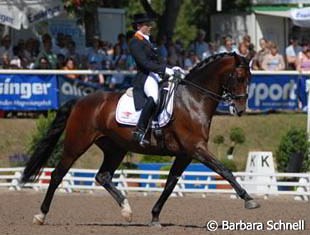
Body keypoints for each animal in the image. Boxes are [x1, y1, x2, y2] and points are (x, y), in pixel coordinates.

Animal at [21, 52, 260, 226]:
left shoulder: (185, 154)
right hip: (76, 144)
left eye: (250, 79)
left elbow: (171, 183)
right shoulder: (196, 148)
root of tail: (80, 100)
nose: (240, 109)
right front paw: (249, 199)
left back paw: (127, 210)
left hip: (116, 148)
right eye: (239, 78)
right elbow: (224, 170)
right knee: (57, 175)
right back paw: (40, 216)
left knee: (102, 176)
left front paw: (154, 216)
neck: (193, 99)